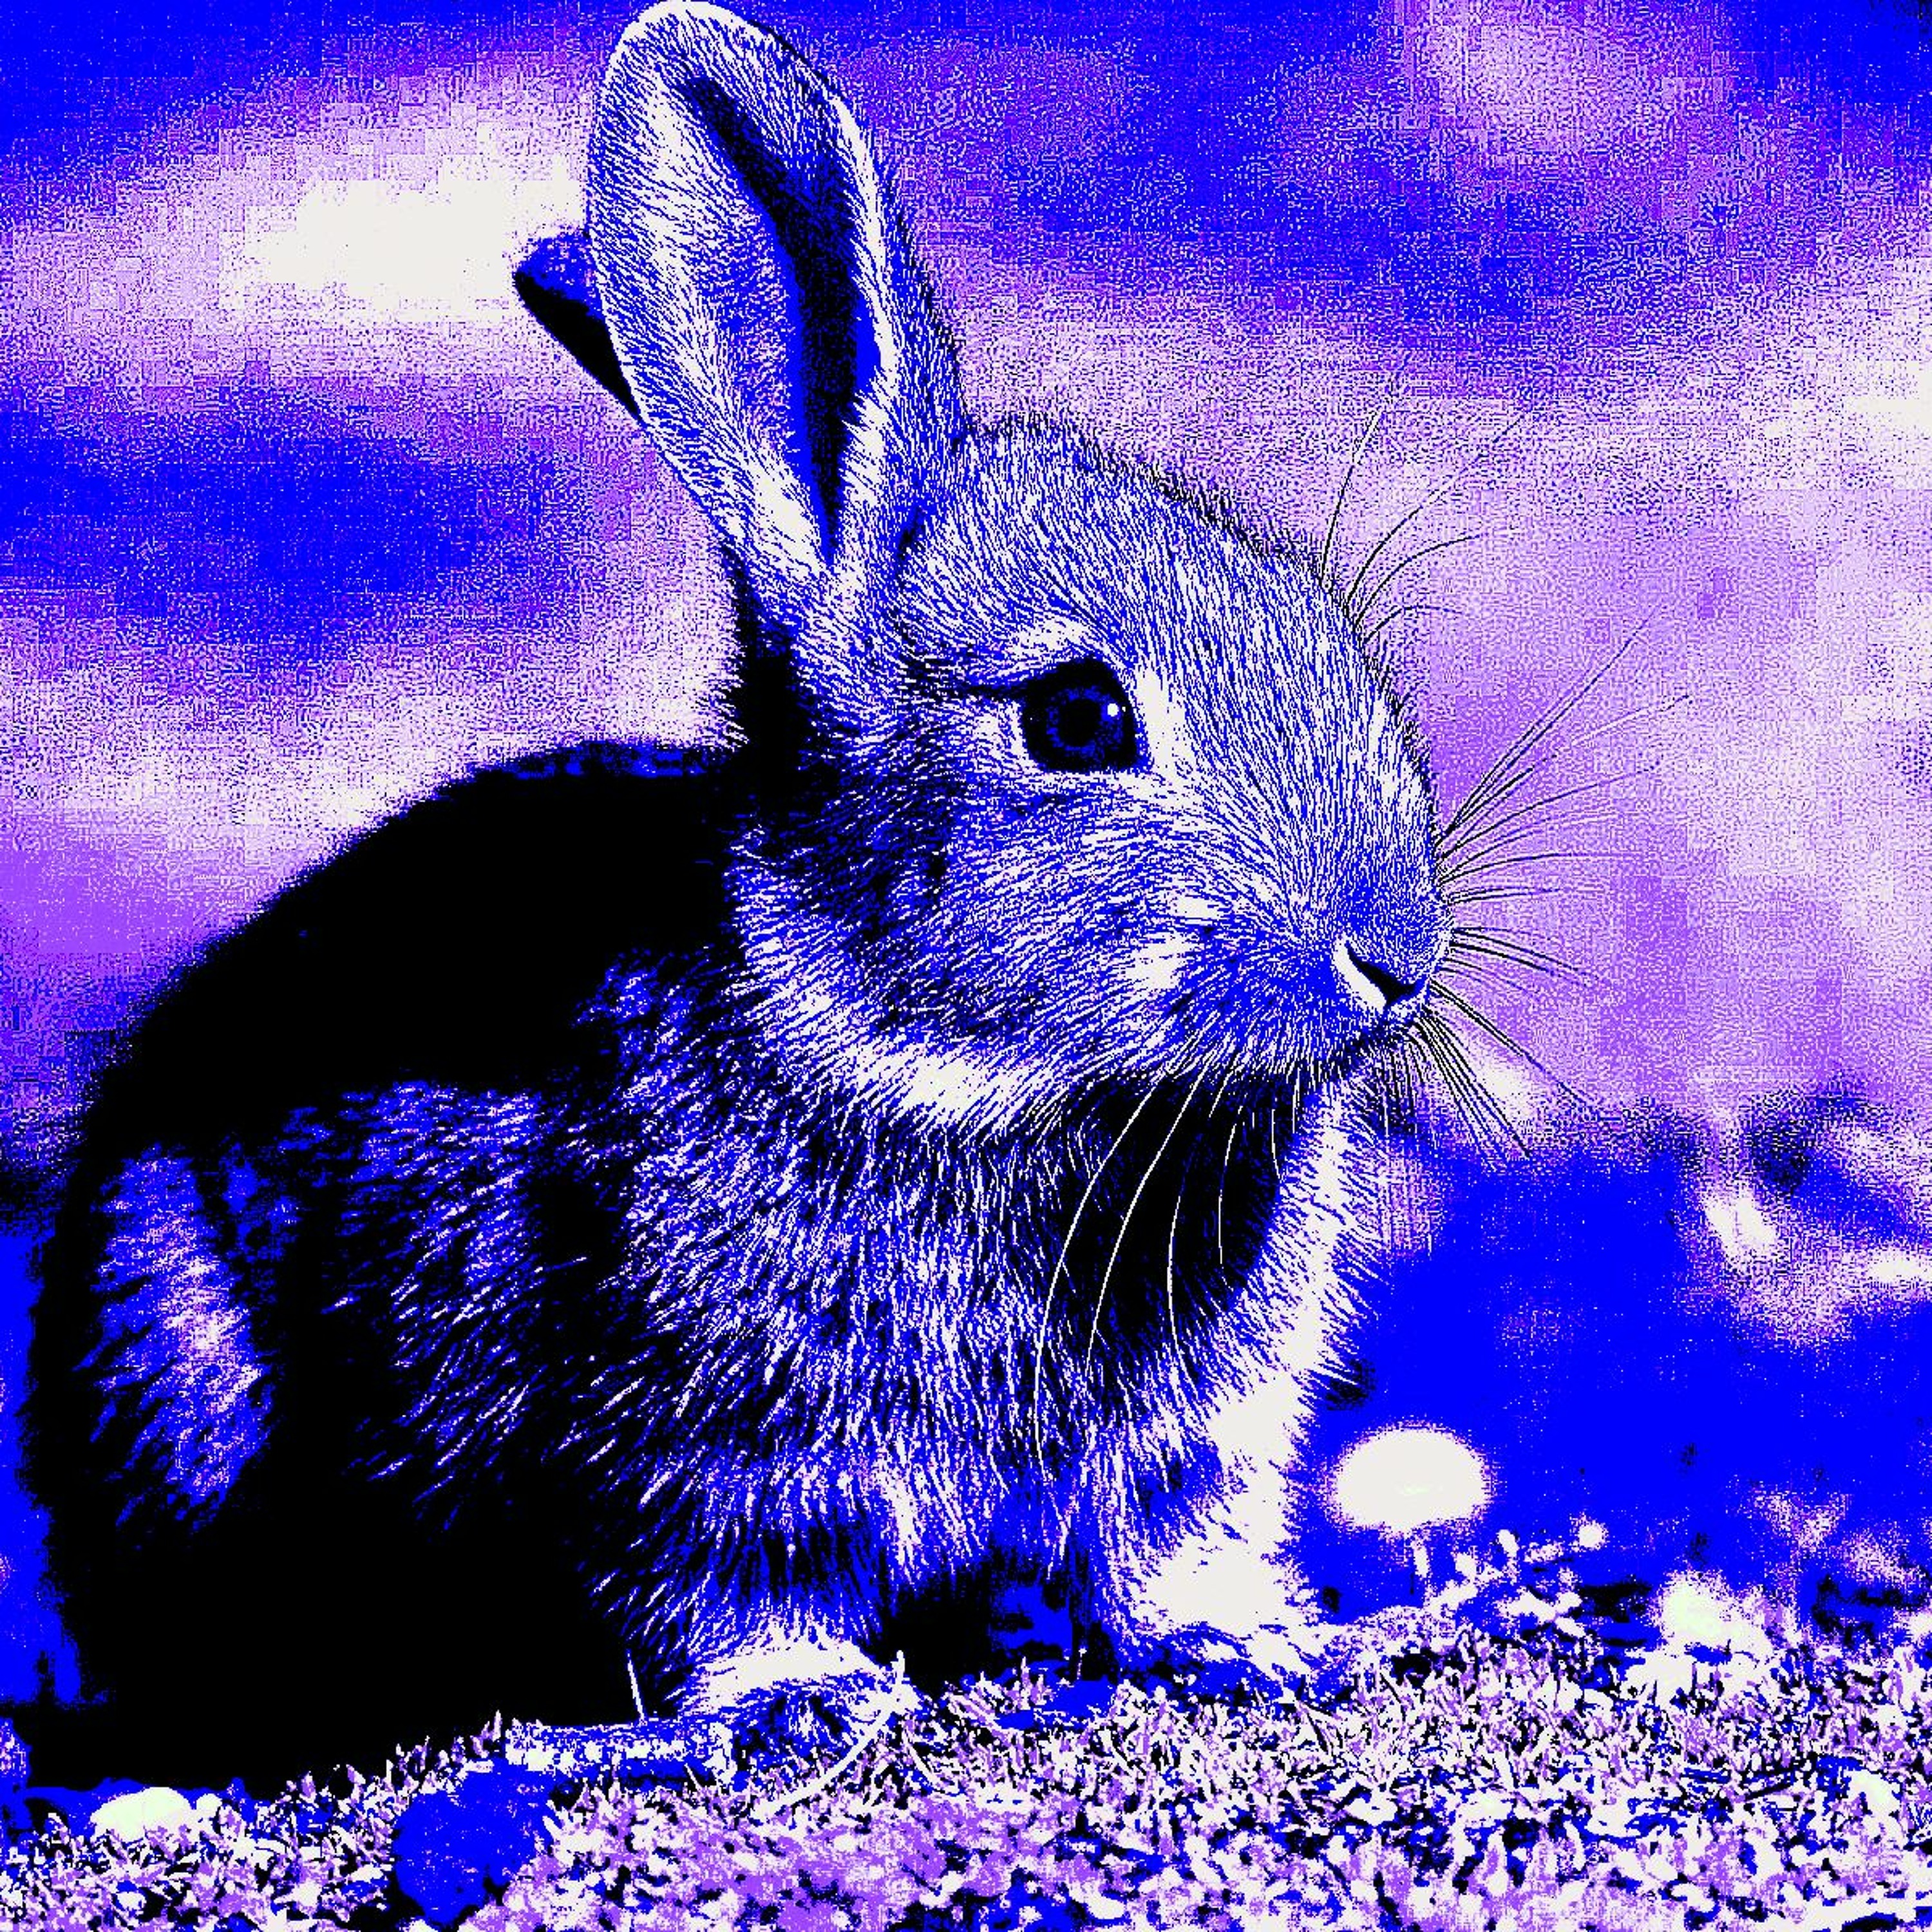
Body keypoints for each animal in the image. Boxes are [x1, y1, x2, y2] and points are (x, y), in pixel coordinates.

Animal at [21, 0, 1449, 1789]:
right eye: (1076, 719)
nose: (1396, 955)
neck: (942, 1059)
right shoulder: (692, 1448)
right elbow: (729, 1591)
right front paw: (805, 1697)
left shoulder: (1186, 1441)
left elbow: (1169, 1549)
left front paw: (1255, 1645)